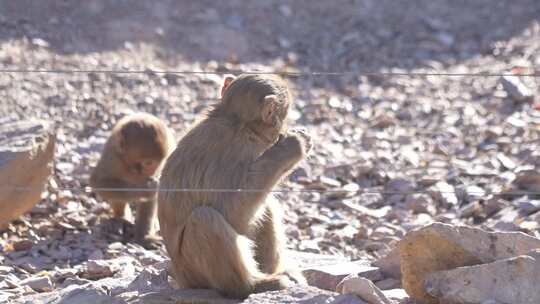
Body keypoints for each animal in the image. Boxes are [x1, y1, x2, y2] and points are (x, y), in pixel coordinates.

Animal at [90, 113, 175, 248]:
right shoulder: (113, 157)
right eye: (148, 163)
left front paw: (145, 237)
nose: (152, 172)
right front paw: (145, 190)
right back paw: (121, 218)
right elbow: (99, 183)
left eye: (158, 162)